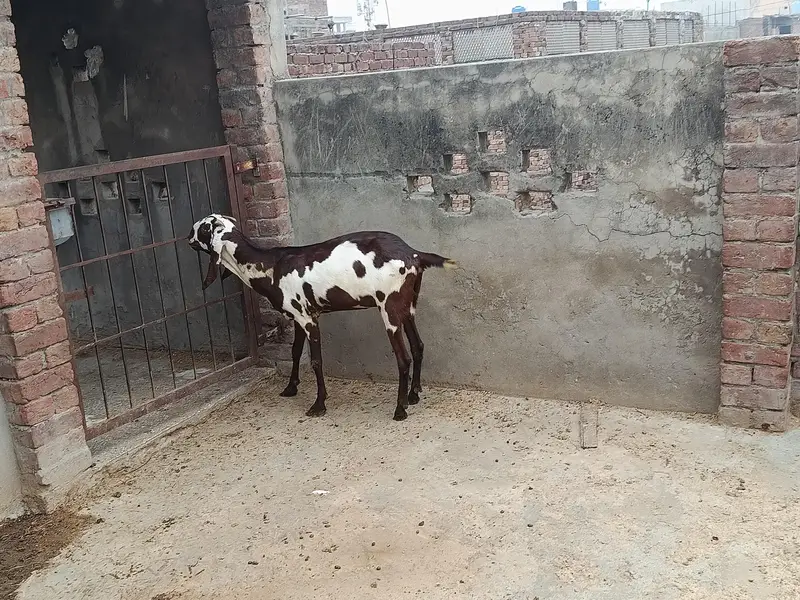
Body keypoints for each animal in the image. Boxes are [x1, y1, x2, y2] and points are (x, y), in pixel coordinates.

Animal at [187, 214, 456, 421]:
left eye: (203, 227)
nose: (187, 237)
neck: (270, 265)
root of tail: (414, 254)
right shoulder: (298, 317)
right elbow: (295, 352)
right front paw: (290, 388)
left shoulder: (309, 320)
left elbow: (317, 361)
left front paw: (318, 405)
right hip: (407, 308)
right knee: (418, 346)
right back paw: (413, 395)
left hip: (389, 311)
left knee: (404, 359)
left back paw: (400, 409)